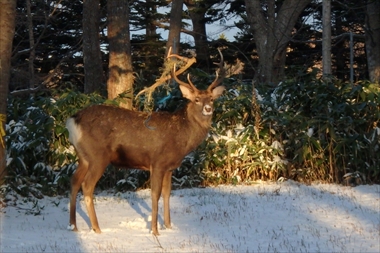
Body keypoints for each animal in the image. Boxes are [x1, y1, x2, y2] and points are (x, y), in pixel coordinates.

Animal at [66, 49, 226, 235]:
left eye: (212, 99)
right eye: (196, 100)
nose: (208, 109)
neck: (182, 137)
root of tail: (72, 120)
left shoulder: (169, 167)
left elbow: (167, 193)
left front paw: (169, 226)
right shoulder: (157, 162)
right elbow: (155, 194)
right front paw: (155, 231)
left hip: (83, 157)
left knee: (74, 181)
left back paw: (73, 226)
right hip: (98, 156)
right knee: (87, 185)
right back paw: (97, 229)